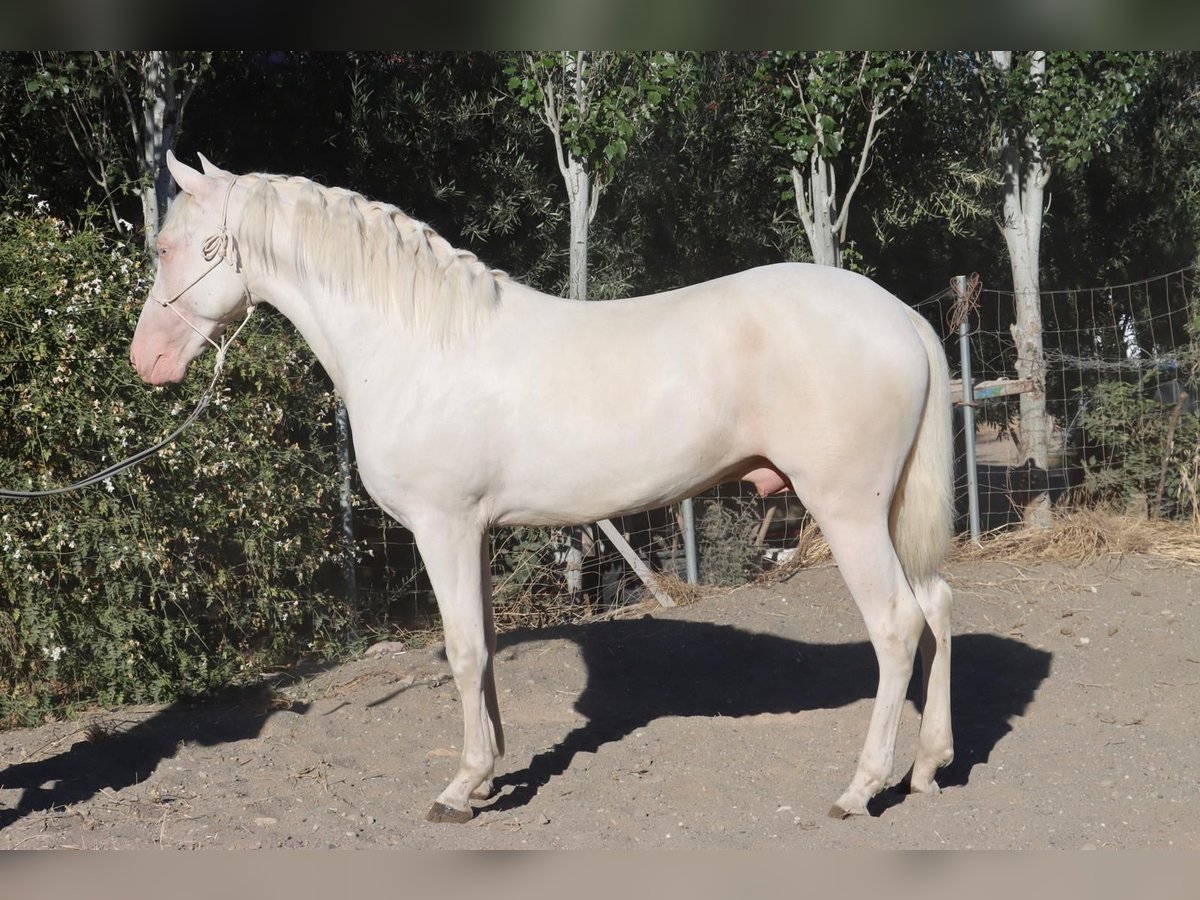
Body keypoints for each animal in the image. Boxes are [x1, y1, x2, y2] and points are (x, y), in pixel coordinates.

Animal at [129, 153, 955, 825]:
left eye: (166, 248)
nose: (145, 362)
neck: (414, 344)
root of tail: (901, 317)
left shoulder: (443, 527)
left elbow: (462, 650)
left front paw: (459, 790)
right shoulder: (476, 532)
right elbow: (487, 646)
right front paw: (489, 777)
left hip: (847, 511)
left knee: (896, 625)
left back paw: (860, 788)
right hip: (886, 514)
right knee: (938, 608)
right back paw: (927, 767)